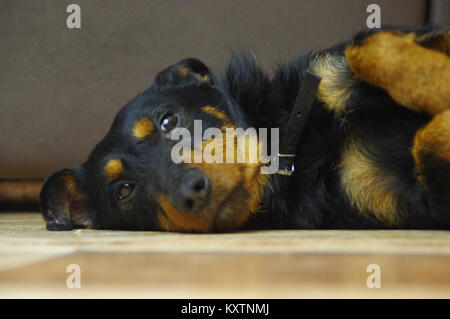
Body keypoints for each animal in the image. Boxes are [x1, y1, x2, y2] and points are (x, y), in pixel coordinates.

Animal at [40, 26, 448, 232]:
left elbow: (367, 45)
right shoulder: (405, 194)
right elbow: (427, 145)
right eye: (123, 191)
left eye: (168, 121)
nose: (191, 191)